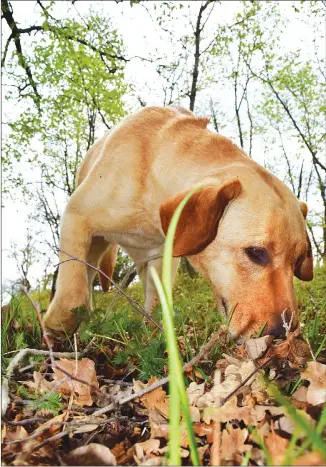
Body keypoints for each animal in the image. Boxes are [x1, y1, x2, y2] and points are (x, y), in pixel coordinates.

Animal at [43, 106, 314, 340]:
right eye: (257, 253)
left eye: (298, 261)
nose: (284, 333)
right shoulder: (76, 216)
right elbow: (72, 294)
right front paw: (57, 327)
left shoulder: (164, 256)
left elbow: (157, 301)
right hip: (96, 243)